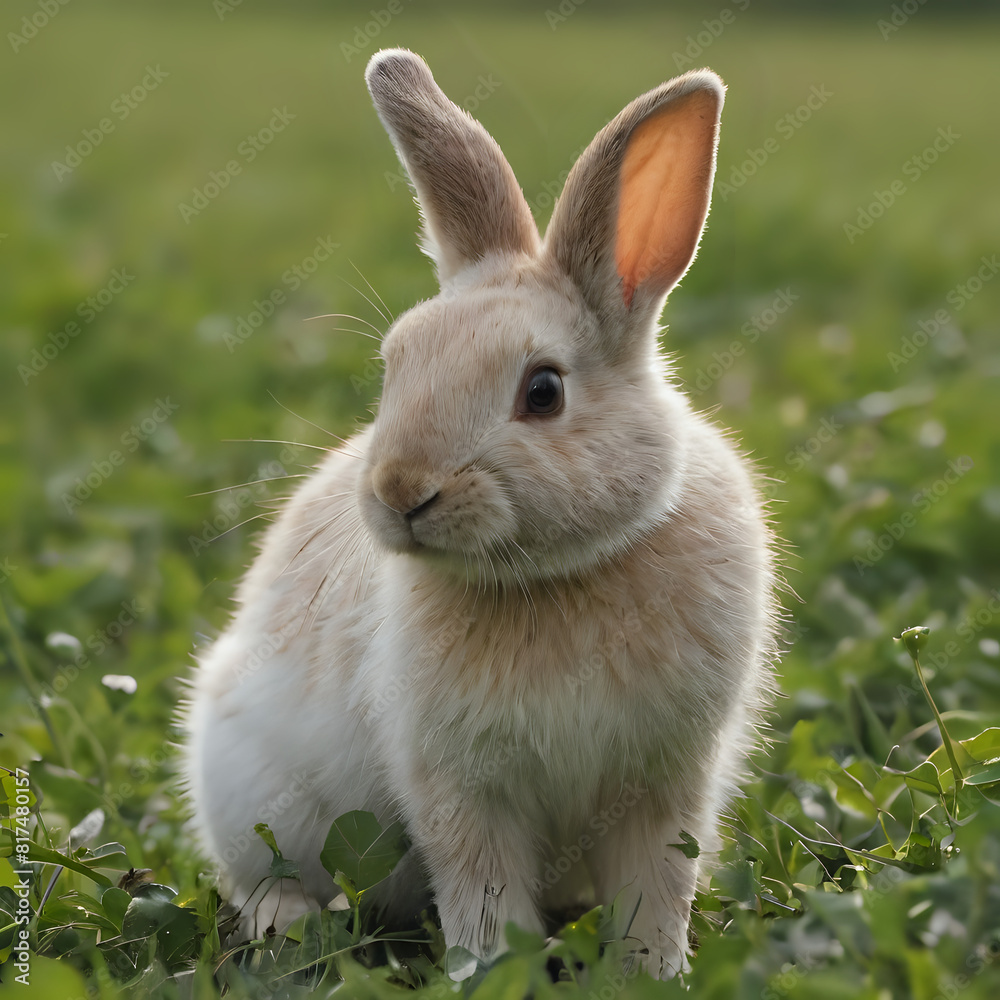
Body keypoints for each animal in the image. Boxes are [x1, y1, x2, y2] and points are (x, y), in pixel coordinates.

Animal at [182, 48, 778, 981]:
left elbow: (655, 892)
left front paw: (653, 972)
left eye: (544, 391)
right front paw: (490, 973)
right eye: (395, 364)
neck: (556, 575)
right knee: (258, 876)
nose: (401, 491)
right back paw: (286, 924)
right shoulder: (460, 790)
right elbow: (482, 892)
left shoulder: (662, 785)